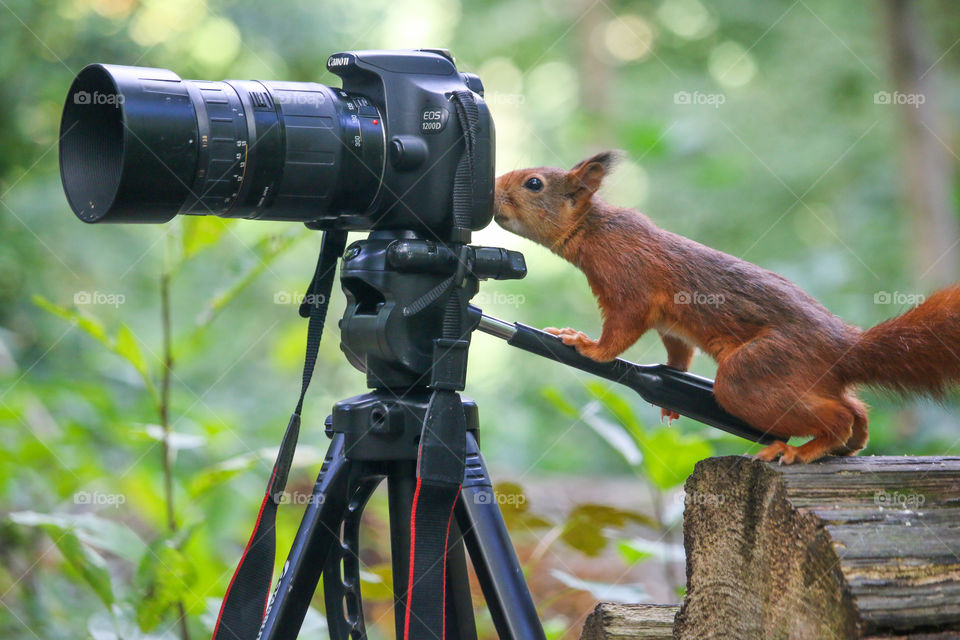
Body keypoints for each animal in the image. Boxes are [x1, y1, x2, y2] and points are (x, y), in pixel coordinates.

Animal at [496, 153, 960, 468]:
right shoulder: (671, 324)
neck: (594, 230)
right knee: (857, 408)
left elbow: (621, 332)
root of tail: (843, 347)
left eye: (534, 184)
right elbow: (677, 351)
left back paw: (804, 448)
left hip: (754, 373)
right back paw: (851, 443)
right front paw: (672, 388)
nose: (492, 192)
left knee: (837, 412)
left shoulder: (632, 284)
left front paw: (586, 345)